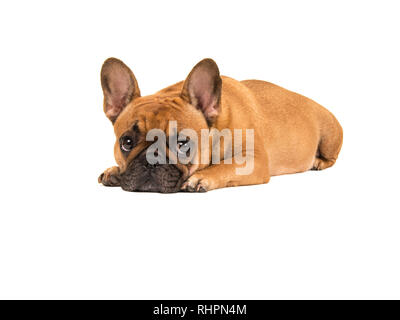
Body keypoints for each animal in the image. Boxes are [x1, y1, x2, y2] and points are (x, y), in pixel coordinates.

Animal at [98, 57, 342, 192]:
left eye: (182, 144)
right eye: (127, 142)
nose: (151, 160)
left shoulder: (253, 161)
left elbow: (225, 166)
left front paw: (201, 177)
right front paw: (114, 171)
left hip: (330, 135)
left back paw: (318, 162)